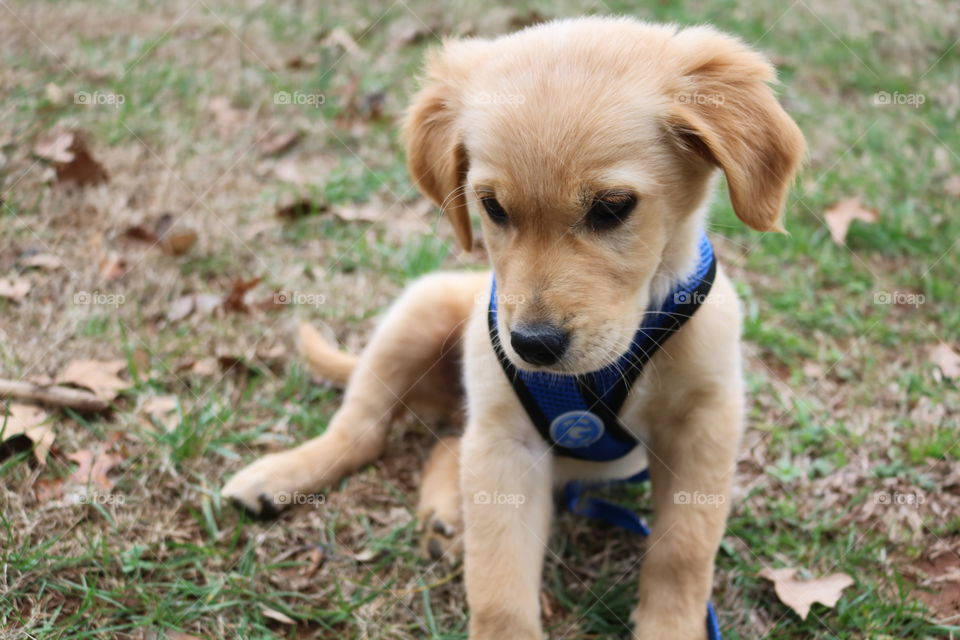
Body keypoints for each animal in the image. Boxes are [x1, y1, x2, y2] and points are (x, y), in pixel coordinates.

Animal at [225, 17, 804, 636]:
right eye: (492, 207)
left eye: (612, 207)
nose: (532, 346)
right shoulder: (506, 441)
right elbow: (499, 583)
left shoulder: (706, 422)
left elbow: (684, 552)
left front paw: (670, 625)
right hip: (420, 310)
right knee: (362, 429)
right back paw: (282, 476)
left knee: (446, 443)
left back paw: (443, 516)